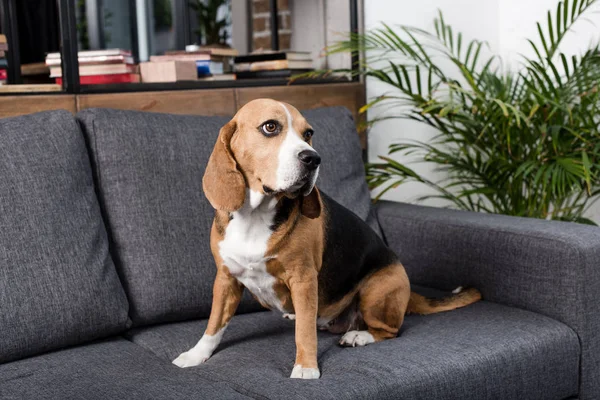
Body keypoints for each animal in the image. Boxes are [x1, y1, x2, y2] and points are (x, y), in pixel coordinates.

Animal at [171, 98, 480, 380]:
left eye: (308, 133)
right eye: (270, 127)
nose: (313, 158)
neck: (255, 216)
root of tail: (408, 290)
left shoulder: (304, 279)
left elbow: (304, 333)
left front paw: (306, 368)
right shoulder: (226, 279)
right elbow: (214, 323)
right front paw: (197, 354)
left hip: (376, 291)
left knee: (390, 330)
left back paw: (359, 336)